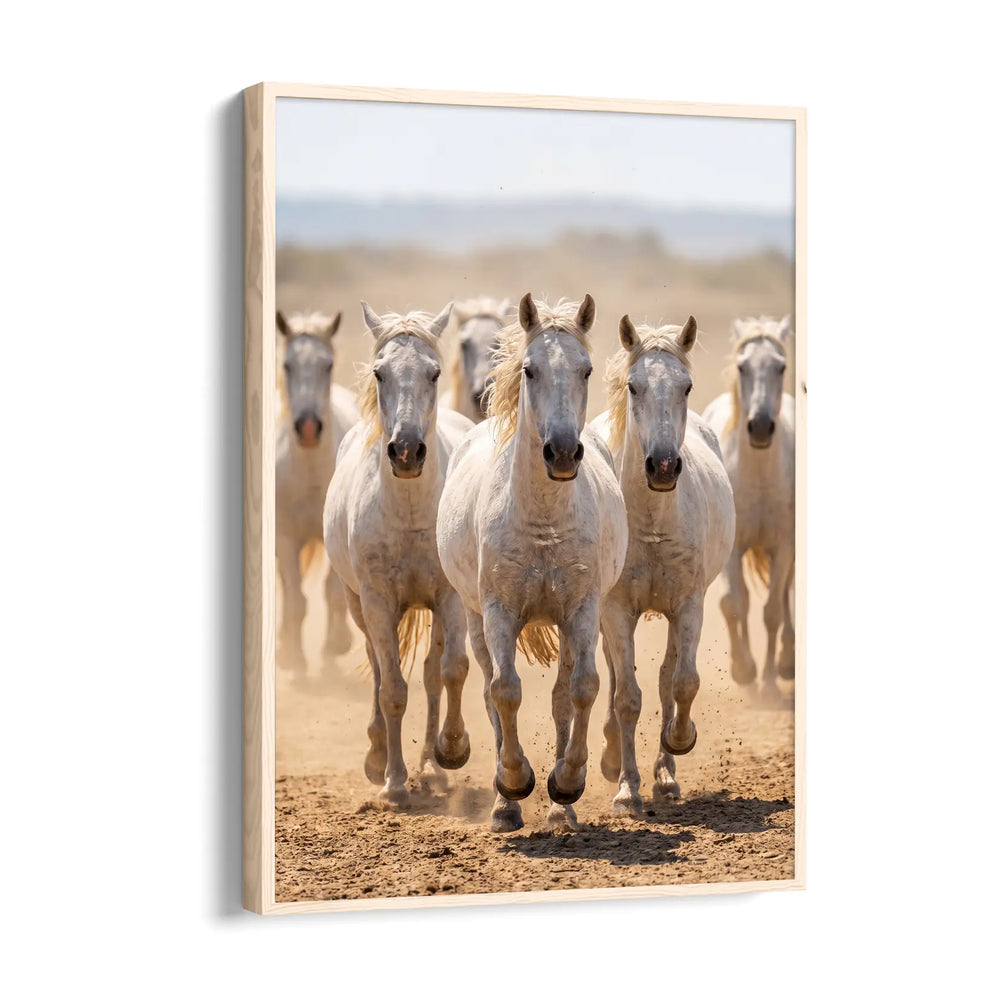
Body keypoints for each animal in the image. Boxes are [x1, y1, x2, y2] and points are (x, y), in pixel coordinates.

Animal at [323, 301, 475, 808]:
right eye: (379, 372)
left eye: (433, 373)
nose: (407, 451)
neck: (409, 510)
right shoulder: (376, 601)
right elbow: (391, 688)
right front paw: (392, 780)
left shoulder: (449, 597)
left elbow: (451, 671)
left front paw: (451, 751)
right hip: (357, 604)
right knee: (376, 667)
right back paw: (379, 756)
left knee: (431, 675)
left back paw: (433, 768)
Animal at [437, 294, 627, 832]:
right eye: (529, 369)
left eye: (586, 369)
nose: (561, 452)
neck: (543, 518)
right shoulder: (498, 612)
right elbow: (504, 691)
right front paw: (513, 785)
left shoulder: (581, 610)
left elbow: (582, 689)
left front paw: (567, 783)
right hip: (474, 618)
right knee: (488, 690)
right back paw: (505, 804)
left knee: (563, 695)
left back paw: (563, 811)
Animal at [589, 315, 735, 814]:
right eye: (634, 386)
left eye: (686, 386)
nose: (664, 466)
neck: (652, 521)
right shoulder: (614, 610)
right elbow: (626, 697)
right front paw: (626, 788)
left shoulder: (688, 605)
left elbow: (682, 682)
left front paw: (678, 742)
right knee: (617, 678)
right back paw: (614, 757)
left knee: (667, 676)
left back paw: (666, 774)